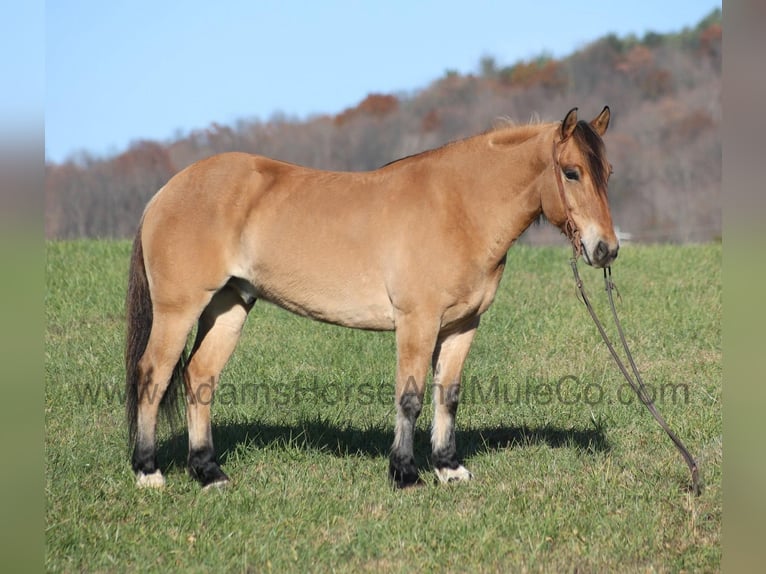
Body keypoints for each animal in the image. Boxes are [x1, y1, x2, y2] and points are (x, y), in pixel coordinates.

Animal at [125, 106, 619, 489]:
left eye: (608, 173)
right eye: (572, 172)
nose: (606, 250)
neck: (459, 208)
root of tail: (166, 192)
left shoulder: (462, 325)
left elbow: (447, 394)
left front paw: (449, 468)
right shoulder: (418, 321)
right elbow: (410, 397)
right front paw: (405, 473)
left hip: (229, 305)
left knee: (199, 377)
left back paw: (209, 472)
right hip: (178, 309)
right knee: (153, 375)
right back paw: (148, 471)